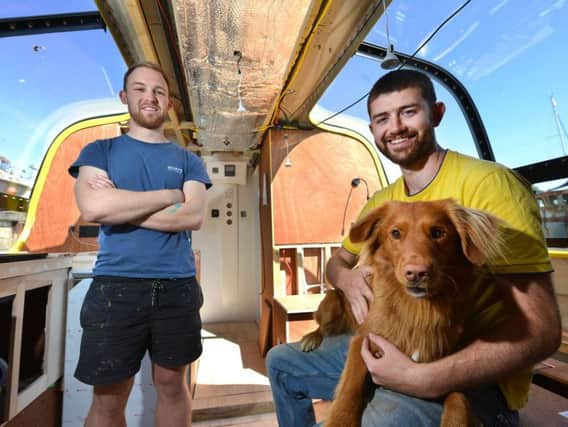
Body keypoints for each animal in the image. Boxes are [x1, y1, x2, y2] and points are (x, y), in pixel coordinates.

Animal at [300, 201, 504, 427]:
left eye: (438, 232)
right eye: (395, 233)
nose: (416, 273)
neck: (417, 308)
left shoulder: (437, 369)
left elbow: (458, 397)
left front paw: (458, 420)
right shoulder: (363, 339)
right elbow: (350, 388)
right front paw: (341, 419)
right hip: (331, 302)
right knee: (322, 326)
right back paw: (311, 338)